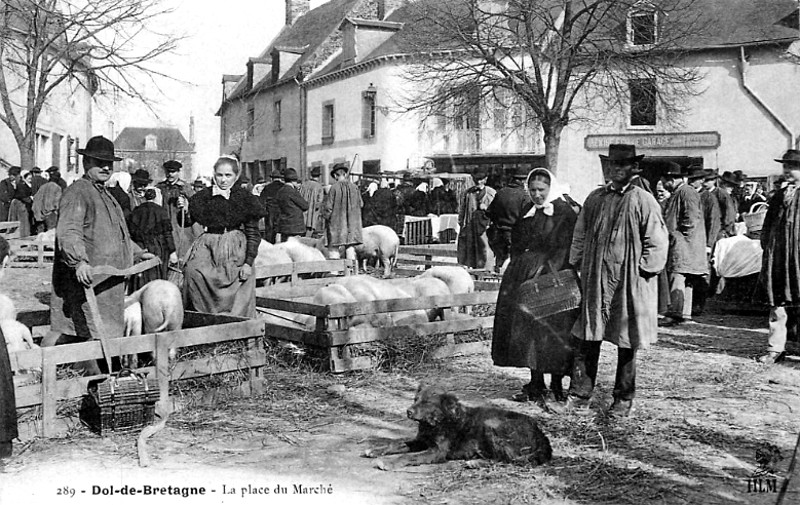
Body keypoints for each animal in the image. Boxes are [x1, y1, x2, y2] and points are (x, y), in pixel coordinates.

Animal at [366, 386, 552, 468]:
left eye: (427, 402)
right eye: (415, 399)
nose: (408, 412)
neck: (435, 422)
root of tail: (541, 435)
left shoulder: (436, 451)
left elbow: (408, 456)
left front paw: (389, 462)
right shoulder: (421, 441)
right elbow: (396, 444)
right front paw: (376, 450)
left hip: (491, 424)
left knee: (508, 460)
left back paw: (474, 462)